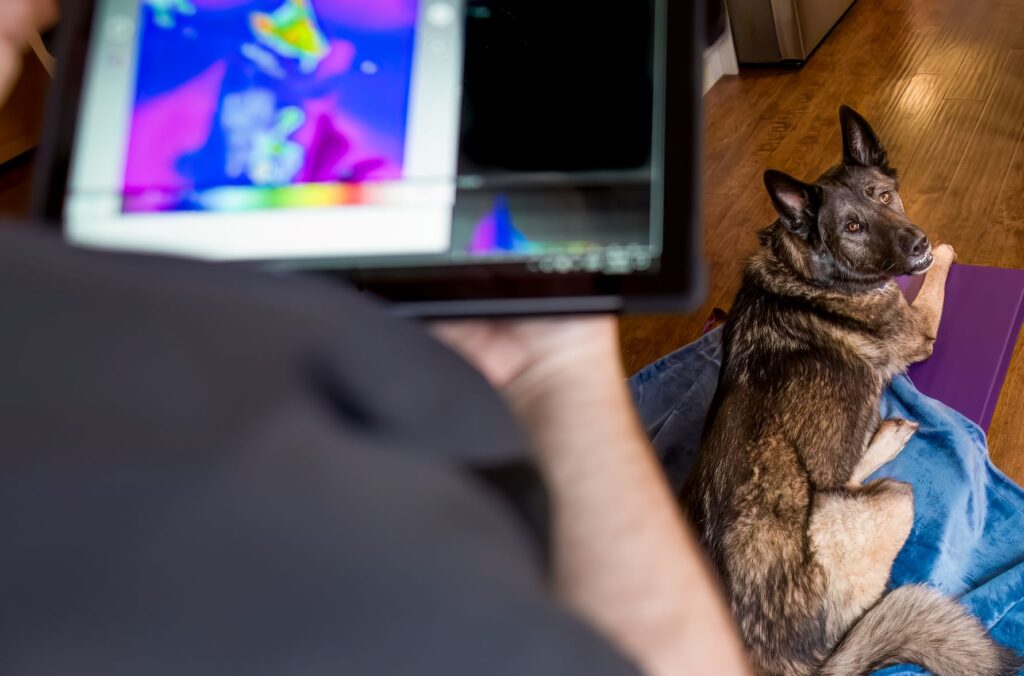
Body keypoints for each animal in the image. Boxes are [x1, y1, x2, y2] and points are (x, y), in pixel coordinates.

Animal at [684, 107, 1019, 676]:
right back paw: (888, 436)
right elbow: (932, 283)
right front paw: (944, 255)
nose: (919, 243)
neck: (805, 266)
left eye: (882, 195)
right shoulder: (918, 326)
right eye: (852, 227)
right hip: (892, 498)